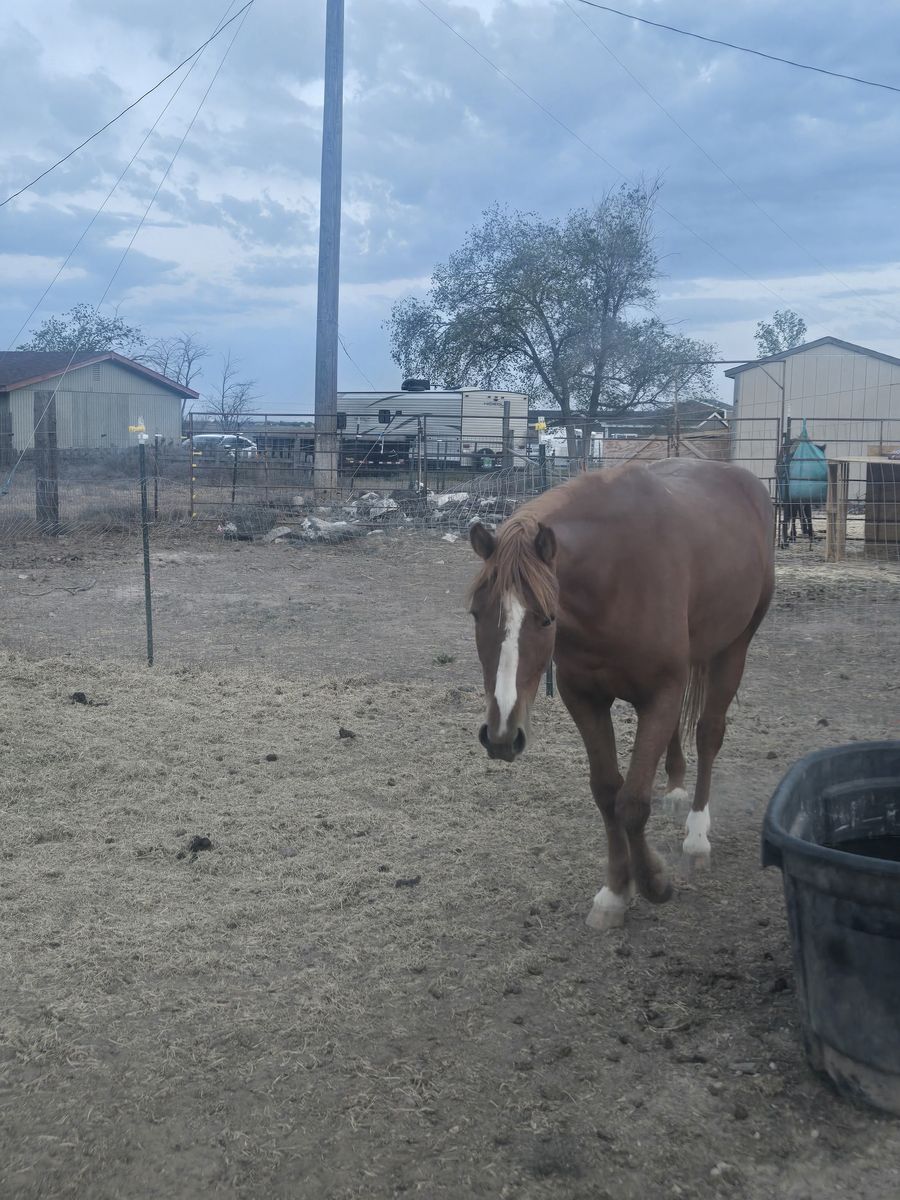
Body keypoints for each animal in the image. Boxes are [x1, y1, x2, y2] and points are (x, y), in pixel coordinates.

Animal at [468, 458, 774, 930]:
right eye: (475, 613)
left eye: (546, 619)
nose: (502, 734)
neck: (614, 573)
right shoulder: (584, 698)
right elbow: (606, 792)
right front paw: (615, 890)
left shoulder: (661, 693)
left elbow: (631, 802)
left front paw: (654, 883)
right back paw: (676, 789)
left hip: (734, 647)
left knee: (709, 733)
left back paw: (696, 836)